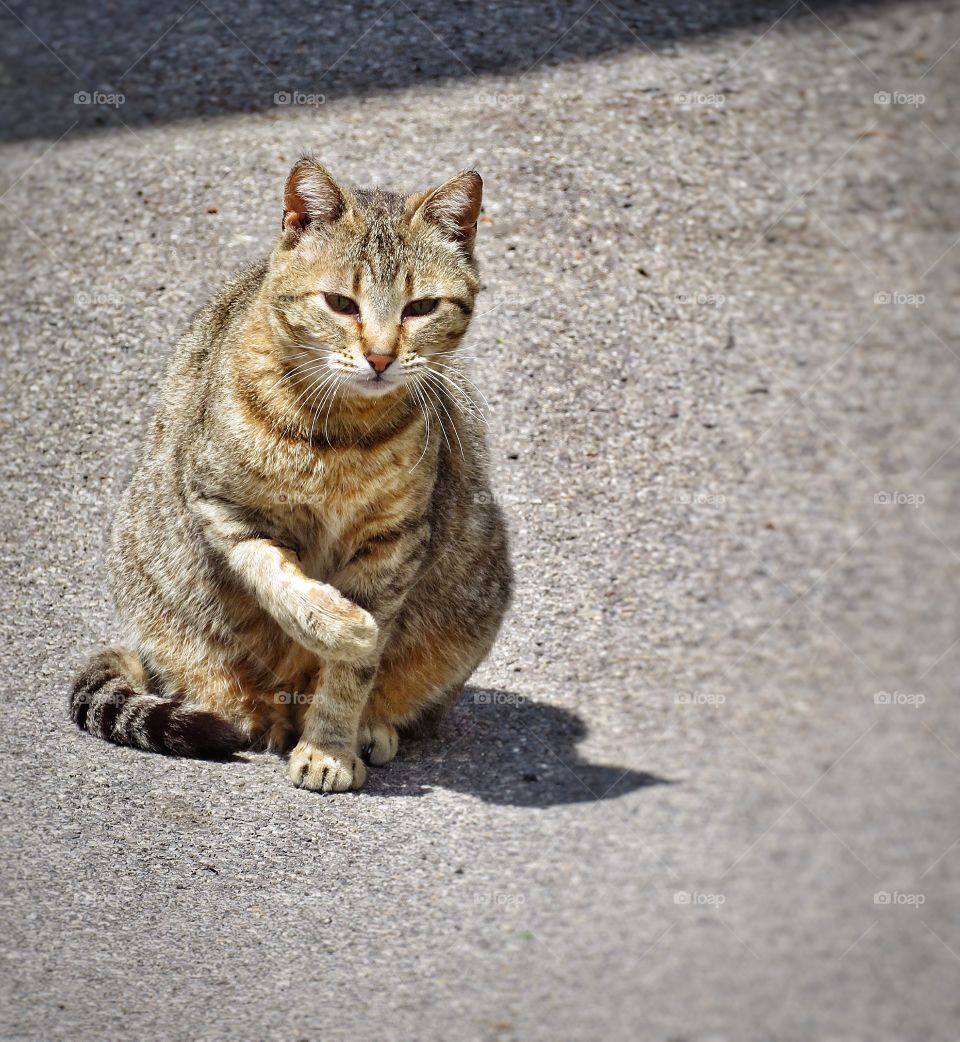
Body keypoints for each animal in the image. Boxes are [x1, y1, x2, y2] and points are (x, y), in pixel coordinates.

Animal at [69, 156, 508, 787]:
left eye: (420, 308)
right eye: (340, 303)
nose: (380, 357)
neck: (342, 439)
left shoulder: (396, 542)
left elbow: (351, 676)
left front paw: (329, 746)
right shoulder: (223, 508)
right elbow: (279, 580)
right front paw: (336, 624)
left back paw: (368, 727)